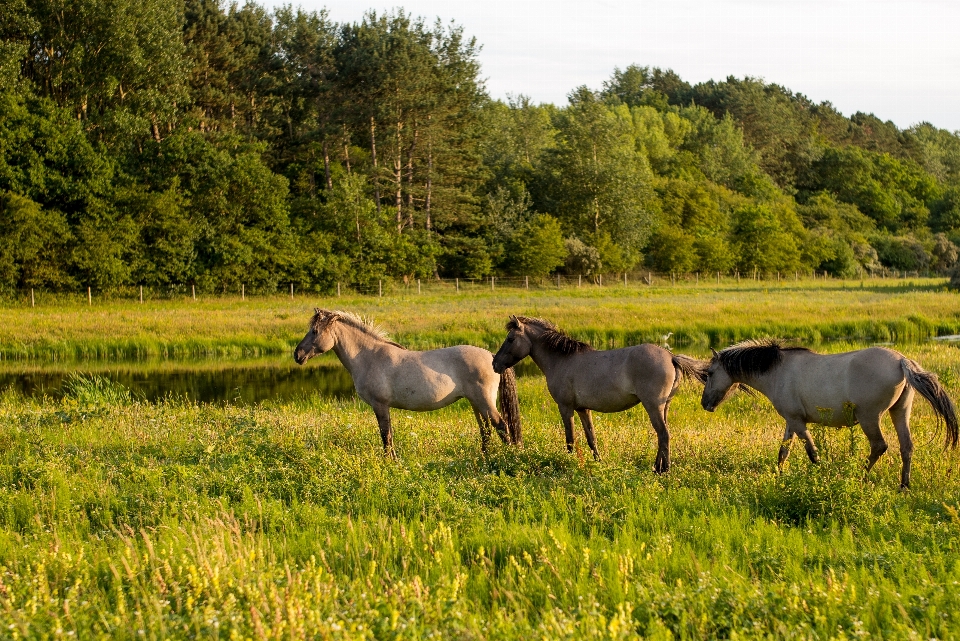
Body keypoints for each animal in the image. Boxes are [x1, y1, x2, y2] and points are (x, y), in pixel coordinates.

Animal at [292, 308, 520, 456]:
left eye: (314, 331)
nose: (297, 354)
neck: (369, 356)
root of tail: (492, 357)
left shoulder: (380, 405)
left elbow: (385, 435)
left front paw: (389, 461)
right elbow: (389, 434)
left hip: (483, 401)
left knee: (501, 426)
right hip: (475, 403)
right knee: (486, 430)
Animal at [496, 312, 704, 472]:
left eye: (510, 339)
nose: (495, 364)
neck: (562, 360)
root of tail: (671, 356)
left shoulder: (565, 407)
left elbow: (570, 439)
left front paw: (568, 463)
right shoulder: (583, 409)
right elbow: (591, 438)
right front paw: (598, 463)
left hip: (654, 407)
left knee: (664, 434)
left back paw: (663, 470)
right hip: (664, 406)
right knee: (662, 436)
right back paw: (657, 467)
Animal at [700, 338, 956, 488]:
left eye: (710, 373)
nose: (705, 404)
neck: (777, 371)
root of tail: (902, 361)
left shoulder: (798, 422)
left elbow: (812, 453)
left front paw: (822, 475)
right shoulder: (791, 421)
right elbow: (783, 452)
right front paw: (778, 476)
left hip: (869, 417)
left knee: (879, 446)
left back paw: (860, 477)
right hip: (899, 411)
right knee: (906, 447)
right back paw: (904, 486)